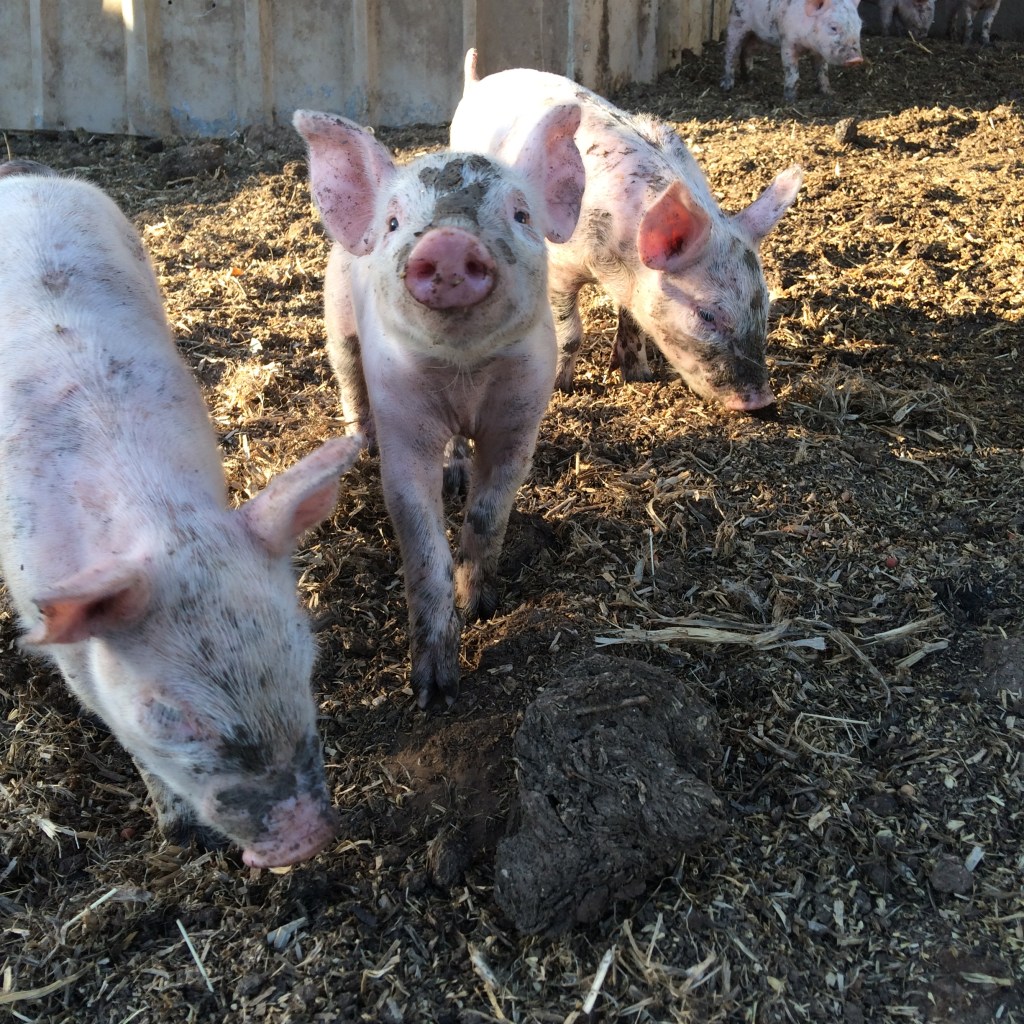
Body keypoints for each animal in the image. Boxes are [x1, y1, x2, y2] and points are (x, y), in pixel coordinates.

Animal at [0, 163, 362, 868]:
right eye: (172, 715)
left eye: (302, 658)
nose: (306, 838)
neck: (159, 518)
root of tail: (22, 179)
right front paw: (174, 829)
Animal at [293, 108, 584, 709]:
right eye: (395, 223)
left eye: (521, 214)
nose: (449, 242)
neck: (464, 372)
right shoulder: (402, 418)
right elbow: (422, 543)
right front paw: (433, 695)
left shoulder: (522, 414)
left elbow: (489, 511)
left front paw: (480, 608)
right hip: (337, 322)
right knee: (348, 379)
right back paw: (360, 445)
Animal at [450, 49, 802, 412]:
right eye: (706, 315)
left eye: (764, 304)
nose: (762, 401)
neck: (616, 262)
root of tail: (478, 82)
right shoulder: (560, 267)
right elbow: (570, 333)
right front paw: (561, 387)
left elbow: (633, 324)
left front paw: (639, 376)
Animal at [720, 0, 864, 103]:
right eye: (833, 27)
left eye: (859, 26)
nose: (856, 59)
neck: (808, 45)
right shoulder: (787, 43)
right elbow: (793, 73)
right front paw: (791, 100)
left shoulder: (819, 51)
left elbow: (822, 71)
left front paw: (829, 93)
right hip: (736, 22)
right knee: (730, 53)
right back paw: (727, 86)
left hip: (756, 36)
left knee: (747, 52)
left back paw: (750, 80)